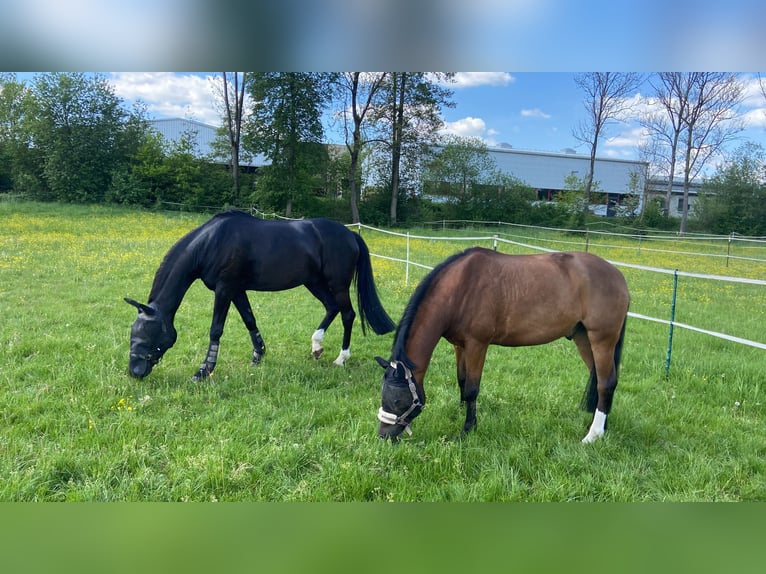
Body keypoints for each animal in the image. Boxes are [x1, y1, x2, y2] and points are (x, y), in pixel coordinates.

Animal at [126, 209, 396, 380]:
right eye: (133, 332)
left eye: (148, 333)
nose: (135, 372)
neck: (212, 243)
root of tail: (350, 234)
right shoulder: (236, 290)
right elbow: (249, 320)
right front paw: (259, 355)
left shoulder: (225, 289)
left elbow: (216, 329)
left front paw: (204, 370)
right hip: (314, 282)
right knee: (332, 308)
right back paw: (316, 346)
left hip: (337, 285)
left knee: (347, 314)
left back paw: (341, 358)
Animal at [376, 248, 632, 446]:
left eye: (397, 401)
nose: (383, 436)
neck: (461, 288)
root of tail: (618, 276)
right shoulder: (460, 346)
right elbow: (462, 381)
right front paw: (461, 412)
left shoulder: (477, 345)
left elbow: (472, 388)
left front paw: (467, 429)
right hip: (583, 338)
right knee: (603, 381)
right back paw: (603, 426)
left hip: (602, 340)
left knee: (606, 383)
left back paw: (593, 435)